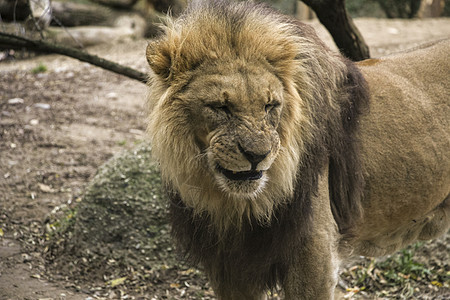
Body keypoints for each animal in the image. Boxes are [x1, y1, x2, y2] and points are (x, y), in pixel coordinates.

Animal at [145, 1, 450, 298]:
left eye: (270, 106)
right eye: (221, 107)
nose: (257, 156)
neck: (237, 206)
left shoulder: (314, 256)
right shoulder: (230, 266)